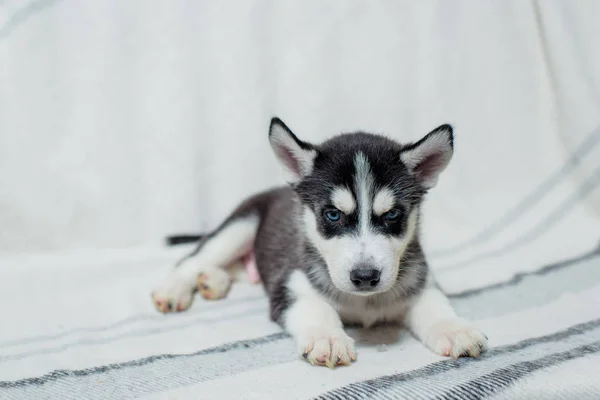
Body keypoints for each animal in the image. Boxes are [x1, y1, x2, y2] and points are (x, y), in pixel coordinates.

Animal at [150, 117, 488, 368]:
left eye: (392, 214)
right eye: (333, 215)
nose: (365, 277)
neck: (365, 302)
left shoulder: (421, 280)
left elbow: (434, 305)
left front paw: (454, 329)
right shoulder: (290, 283)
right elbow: (314, 308)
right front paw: (328, 337)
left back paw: (212, 281)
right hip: (240, 226)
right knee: (193, 258)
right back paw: (176, 288)